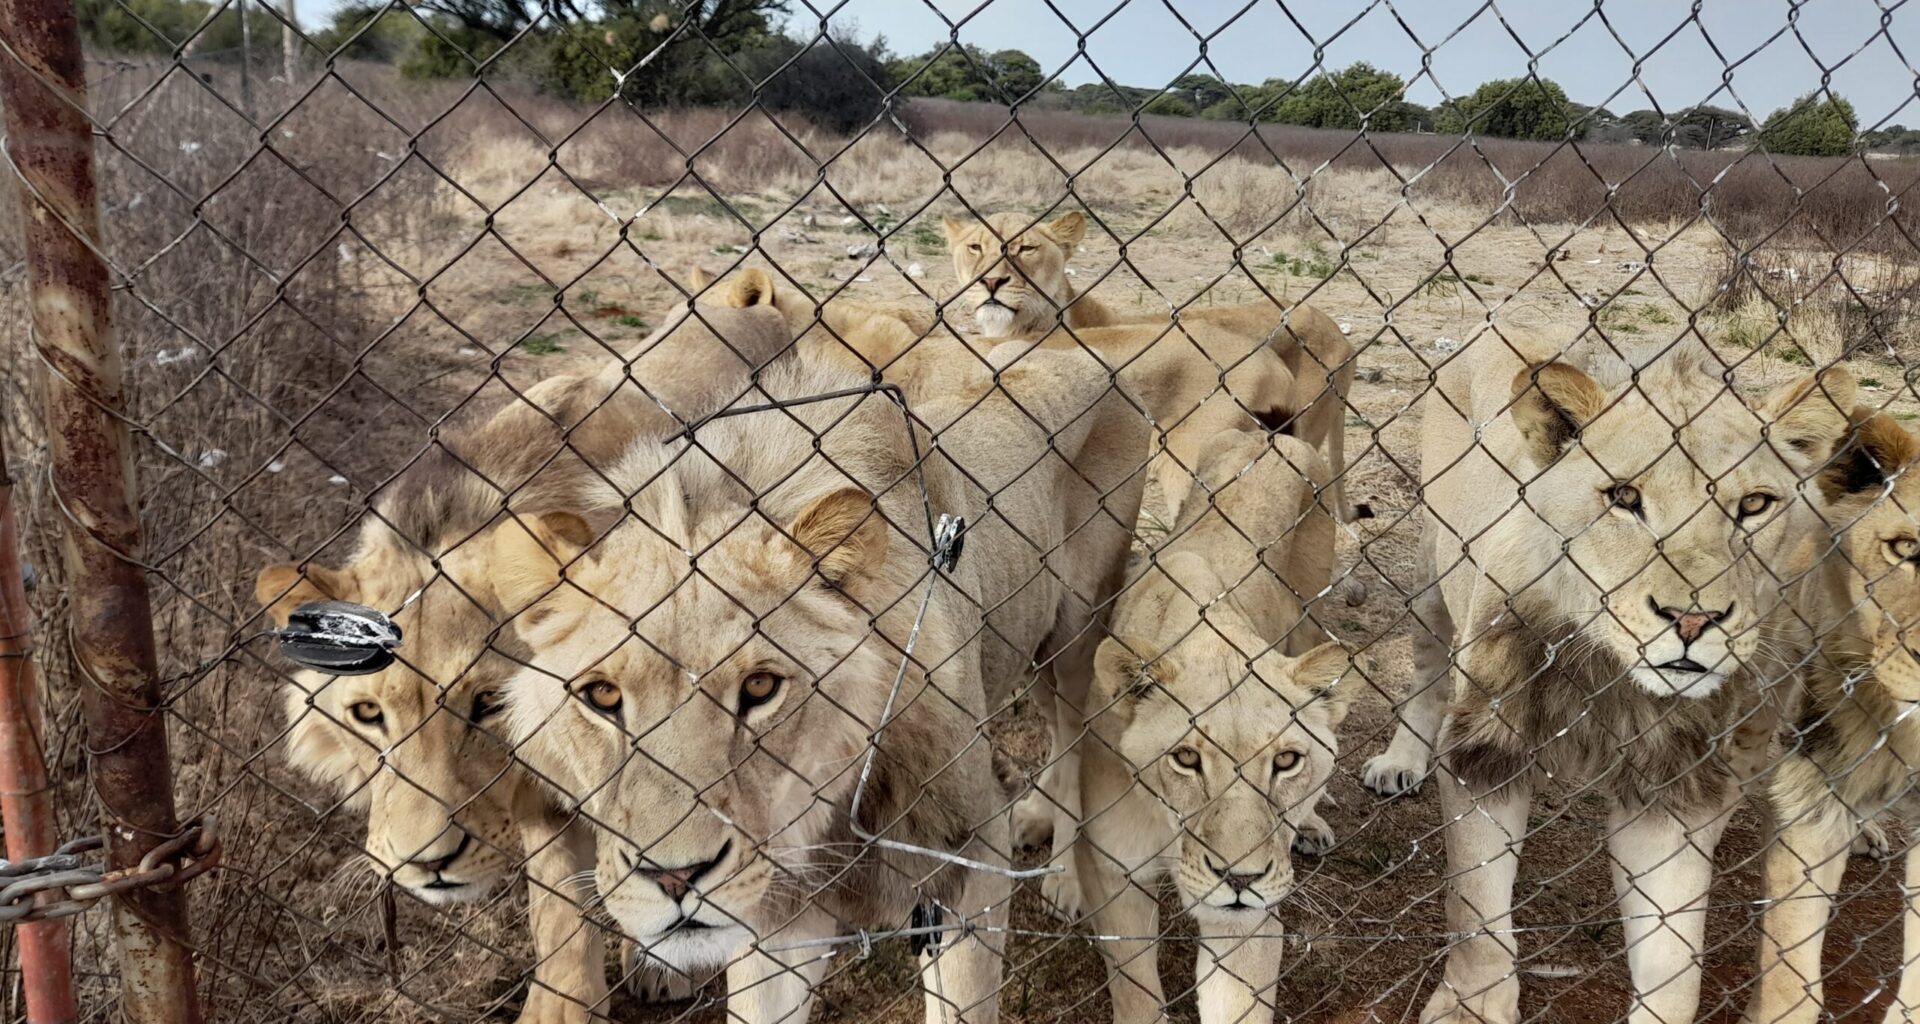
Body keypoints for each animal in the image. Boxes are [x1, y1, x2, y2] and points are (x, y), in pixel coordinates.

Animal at [490, 350, 1145, 1023]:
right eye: (601, 697)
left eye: (760, 687)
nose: (675, 878)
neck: (821, 824)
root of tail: (1084, 353)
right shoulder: (775, 922)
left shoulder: (970, 856)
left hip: (1078, 637)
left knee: (1077, 733)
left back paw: (1067, 878)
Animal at [1077, 429, 1348, 1024]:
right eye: (1186, 759)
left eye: (1287, 761)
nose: (1240, 880)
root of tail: (1272, 435)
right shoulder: (1113, 870)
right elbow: (1136, 993)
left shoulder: (1247, 921)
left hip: (1309, 619)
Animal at [1380, 334, 1854, 1024]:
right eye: (1626, 498)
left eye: (1754, 505)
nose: (1692, 619)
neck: (1608, 673)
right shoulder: (1487, 752)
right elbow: (1476, 908)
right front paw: (1470, 1007)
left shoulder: (1670, 789)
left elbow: (1673, 958)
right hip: (1431, 573)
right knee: (1425, 674)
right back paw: (1398, 761)